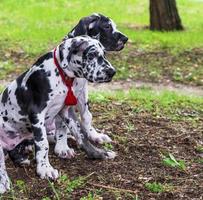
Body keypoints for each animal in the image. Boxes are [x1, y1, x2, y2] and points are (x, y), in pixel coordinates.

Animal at [0, 36, 116, 194]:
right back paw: (3, 181)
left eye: (104, 54)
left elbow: (82, 135)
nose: (112, 72)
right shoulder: (37, 114)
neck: (61, 76)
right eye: (91, 55)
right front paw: (44, 169)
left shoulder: (66, 111)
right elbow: (43, 144)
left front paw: (99, 153)